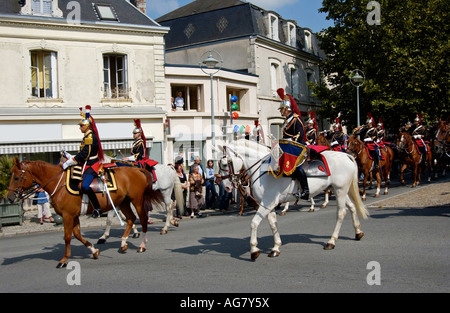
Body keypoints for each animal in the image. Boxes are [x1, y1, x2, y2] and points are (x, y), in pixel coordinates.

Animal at [7, 160, 162, 266]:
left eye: (16, 177)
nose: (9, 198)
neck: (59, 183)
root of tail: (137, 170)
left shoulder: (68, 216)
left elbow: (68, 237)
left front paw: (64, 260)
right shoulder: (73, 216)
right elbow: (77, 234)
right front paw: (94, 251)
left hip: (137, 201)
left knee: (142, 219)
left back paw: (142, 246)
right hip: (123, 202)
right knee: (131, 219)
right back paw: (123, 243)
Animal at [218, 138, 370, 258]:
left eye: (224, 164)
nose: (226, 187)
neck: (263, 170)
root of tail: (346, 156)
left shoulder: (268, 202)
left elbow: (254, 223)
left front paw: (254, 250)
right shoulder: (267, 204)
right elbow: (273, 224)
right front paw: (276, 247)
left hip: (340, 190)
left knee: (341, 213)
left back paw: (331, 241)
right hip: (338, 190)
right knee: (352, 207)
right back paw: (358, 232)